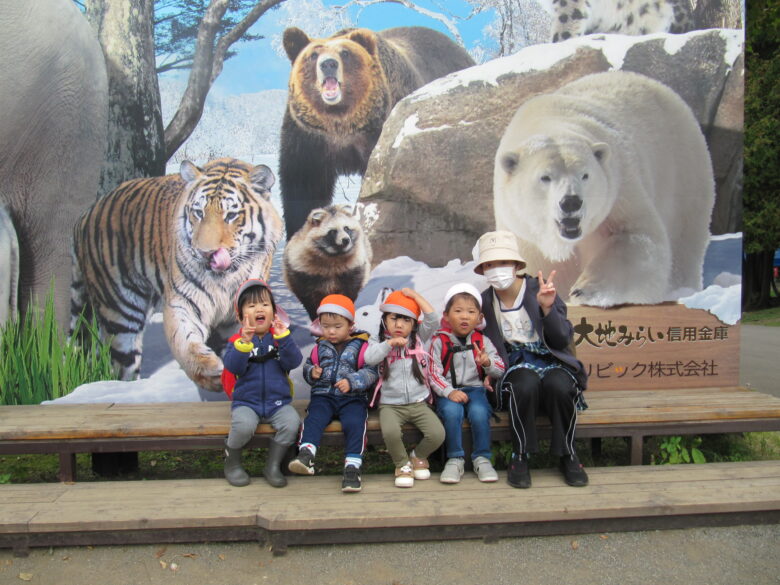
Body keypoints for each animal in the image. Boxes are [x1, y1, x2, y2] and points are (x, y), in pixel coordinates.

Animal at [70, 157, 284, 390]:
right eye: (199, 213)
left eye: (231, 215)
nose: (206, 253)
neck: (226, 279)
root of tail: (86, 213)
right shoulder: (183, 302)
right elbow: (185, 340)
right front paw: (209, 371)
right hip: (119, 313)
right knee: (121, 365)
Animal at [280, 26, 476, 237]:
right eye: (313, 55)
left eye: (345, 53)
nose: (328, 64)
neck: (342, 125)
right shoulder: (309, 140)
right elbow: (304, 189)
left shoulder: (381, 135)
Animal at [496, 72, 716, 306]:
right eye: (545, 177)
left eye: (585, 175)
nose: (571, 202)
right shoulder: (525, 234)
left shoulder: (618, 190)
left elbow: (636, 237)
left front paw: (584, 291)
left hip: (682, 171)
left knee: (684, 239)